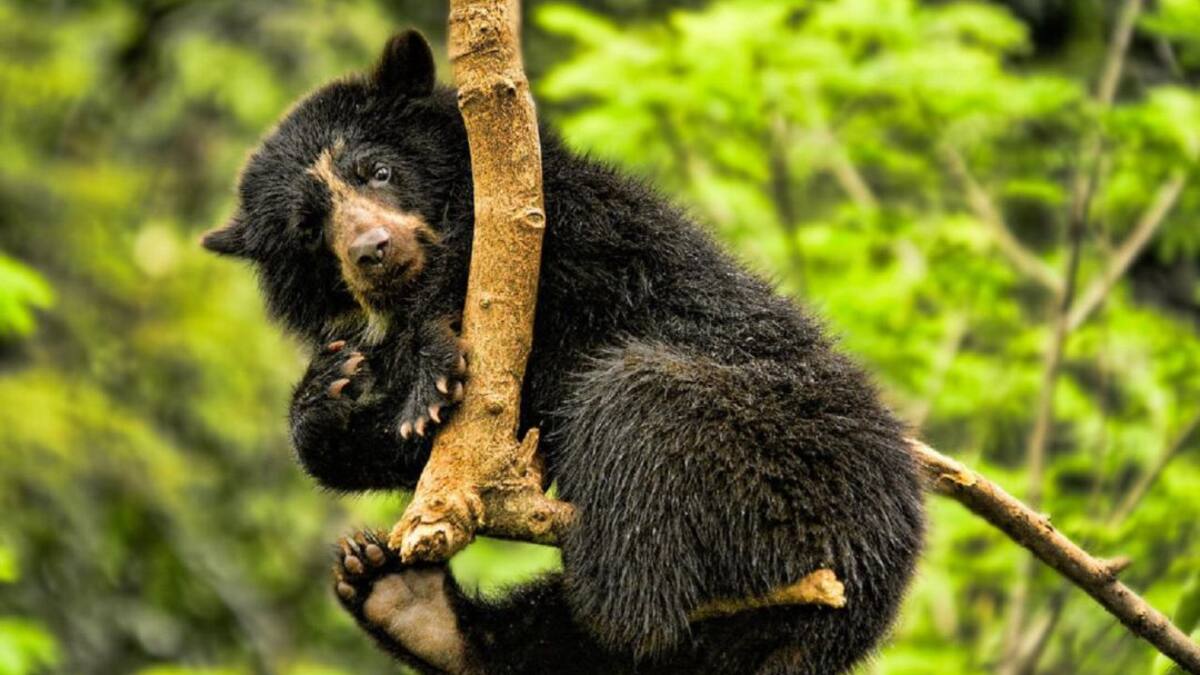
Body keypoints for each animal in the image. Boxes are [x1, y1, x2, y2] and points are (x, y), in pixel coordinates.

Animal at [203, 30, 925, 675]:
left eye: (377, 171)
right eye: (308, 227)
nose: (373, 250)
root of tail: (879, 581)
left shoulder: (575, 221)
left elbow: (530, 262)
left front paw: (426, 367)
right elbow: (467, 446)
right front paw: (336, 388)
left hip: (789, 459)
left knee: (637, 406)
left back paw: (603, 579)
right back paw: (404, 600)